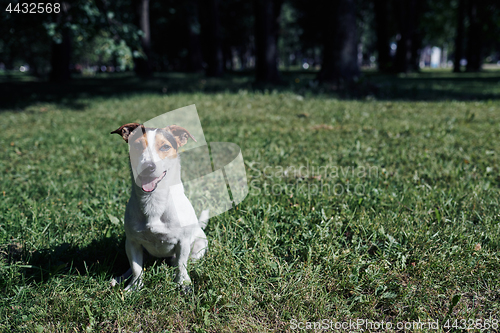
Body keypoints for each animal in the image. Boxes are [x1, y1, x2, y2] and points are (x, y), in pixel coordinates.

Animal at [109, 122, 209, 290]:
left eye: (165, 147)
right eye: (137, 145)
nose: (148, 166)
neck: (153, 199)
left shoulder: (183, 242)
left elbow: (181, 264)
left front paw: (183, 283)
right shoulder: (132, 242)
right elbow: (136, 268)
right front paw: (134, 287)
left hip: (199, 246)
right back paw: (120, 278)